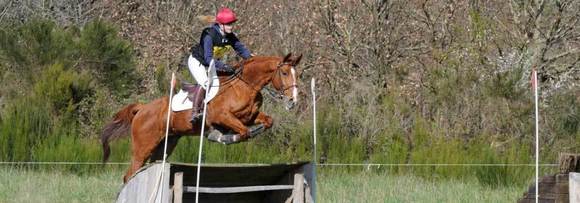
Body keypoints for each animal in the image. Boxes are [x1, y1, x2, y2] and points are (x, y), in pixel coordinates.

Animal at [98, 52, 304, 182]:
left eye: (297, 74)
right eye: (284, 73)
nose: (293, 101)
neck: (244, 86)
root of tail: (142, 109)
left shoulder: (250, 116)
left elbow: (267, 121)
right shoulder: (223, 116)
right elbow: (243, 132)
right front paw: (223, 136)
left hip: (164, 145)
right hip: (143, 147)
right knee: (129, 174)